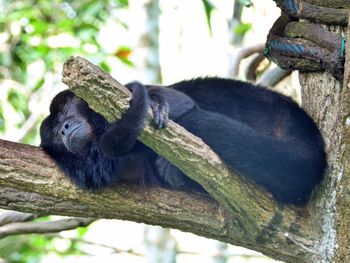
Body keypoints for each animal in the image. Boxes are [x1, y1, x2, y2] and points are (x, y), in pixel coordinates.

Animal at [39, 78, 326, 206]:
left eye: (65, 113)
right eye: (53, 133)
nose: (64, 129)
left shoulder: (122, 93)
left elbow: (178, 102)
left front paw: (157, 105)